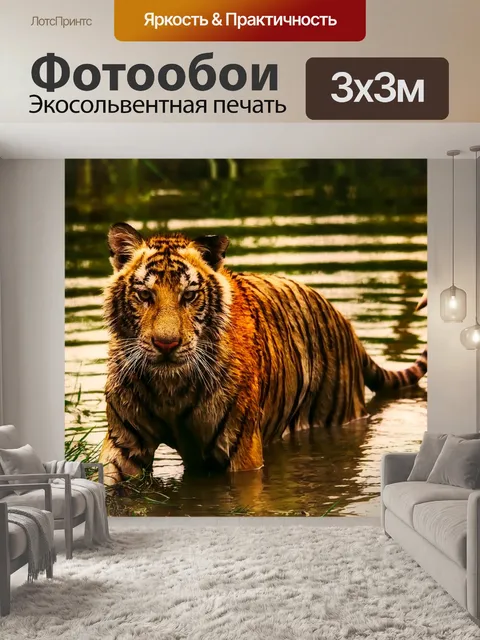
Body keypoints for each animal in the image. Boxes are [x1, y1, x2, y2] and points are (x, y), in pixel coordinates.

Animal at [98, 222, 428, 485]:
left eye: (189, 295)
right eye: (145, 295)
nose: (166, 344)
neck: (169, 388)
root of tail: (347, 325)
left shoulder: (240, 452)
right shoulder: (124, 444)